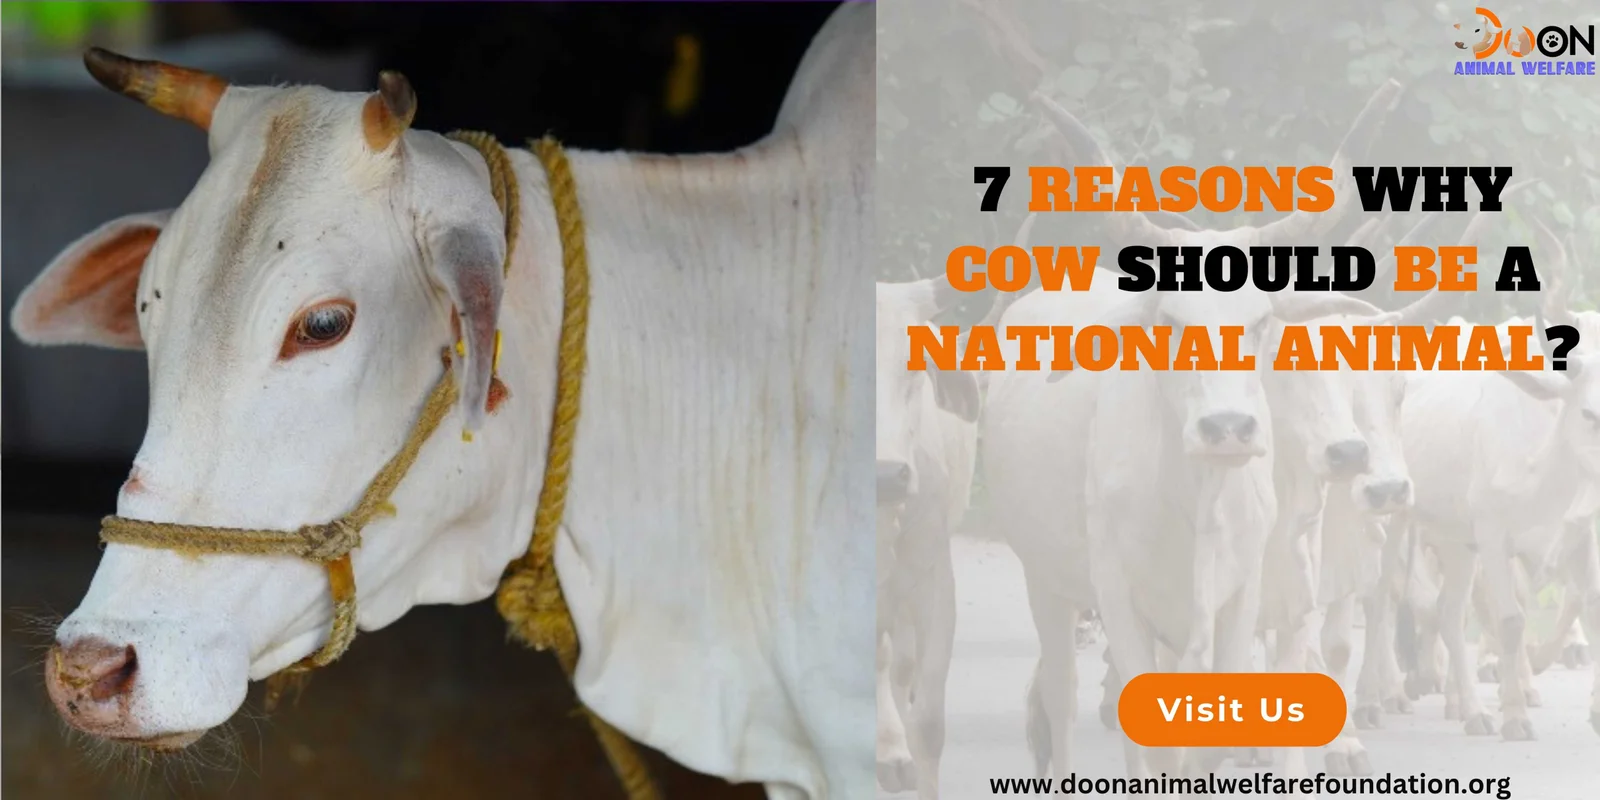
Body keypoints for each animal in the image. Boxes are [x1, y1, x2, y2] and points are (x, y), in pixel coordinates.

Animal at [976, 79, 1406, 779]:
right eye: (1170, 321)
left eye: (1261, 321)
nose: (1227, 427)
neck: (1195, 499)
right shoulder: (1121, 605)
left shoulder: (1240, 604)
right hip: (1047, 581)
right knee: (1061, 699)